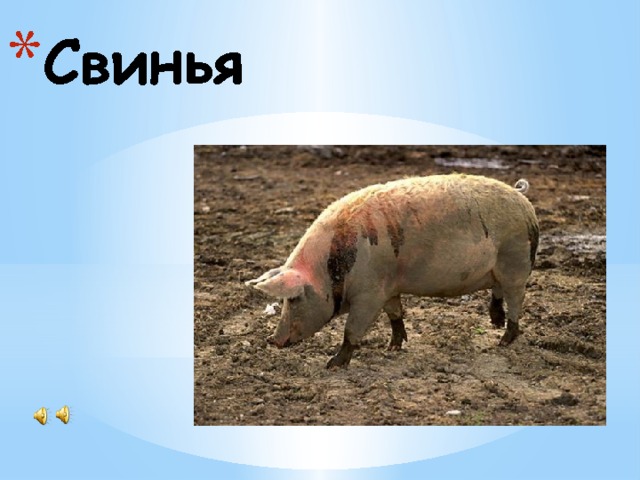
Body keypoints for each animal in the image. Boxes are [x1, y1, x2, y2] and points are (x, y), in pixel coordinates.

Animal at [246, 173, 539, 368]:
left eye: (294, 299)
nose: (272, 340)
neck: (330, 270)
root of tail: (522, 199)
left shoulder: (369, 294)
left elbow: (352, 330)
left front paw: (332, 364)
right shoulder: (388, 288)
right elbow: (395, 315)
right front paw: (393, 347)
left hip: (515, 262)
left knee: (516, 301)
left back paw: (504, 340)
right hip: (502, 267)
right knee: (498, 293)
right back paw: (495, 323)